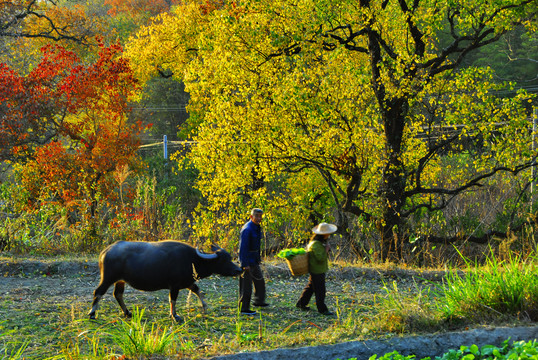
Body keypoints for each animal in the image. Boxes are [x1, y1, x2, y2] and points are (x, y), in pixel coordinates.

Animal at [88, 240, 241, 322]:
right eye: (224, 260)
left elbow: (198, 290)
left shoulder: (187, 282)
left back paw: (128, 313)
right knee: (98, 292)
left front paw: (204, 305)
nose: (239, 270)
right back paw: (92, 313)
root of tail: (105, 251)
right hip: (108, 278)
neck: (192, 260)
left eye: (229, 257)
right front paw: (174, 315)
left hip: (120, 281)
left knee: (118, 294)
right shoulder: (174, 285)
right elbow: (172, 299)